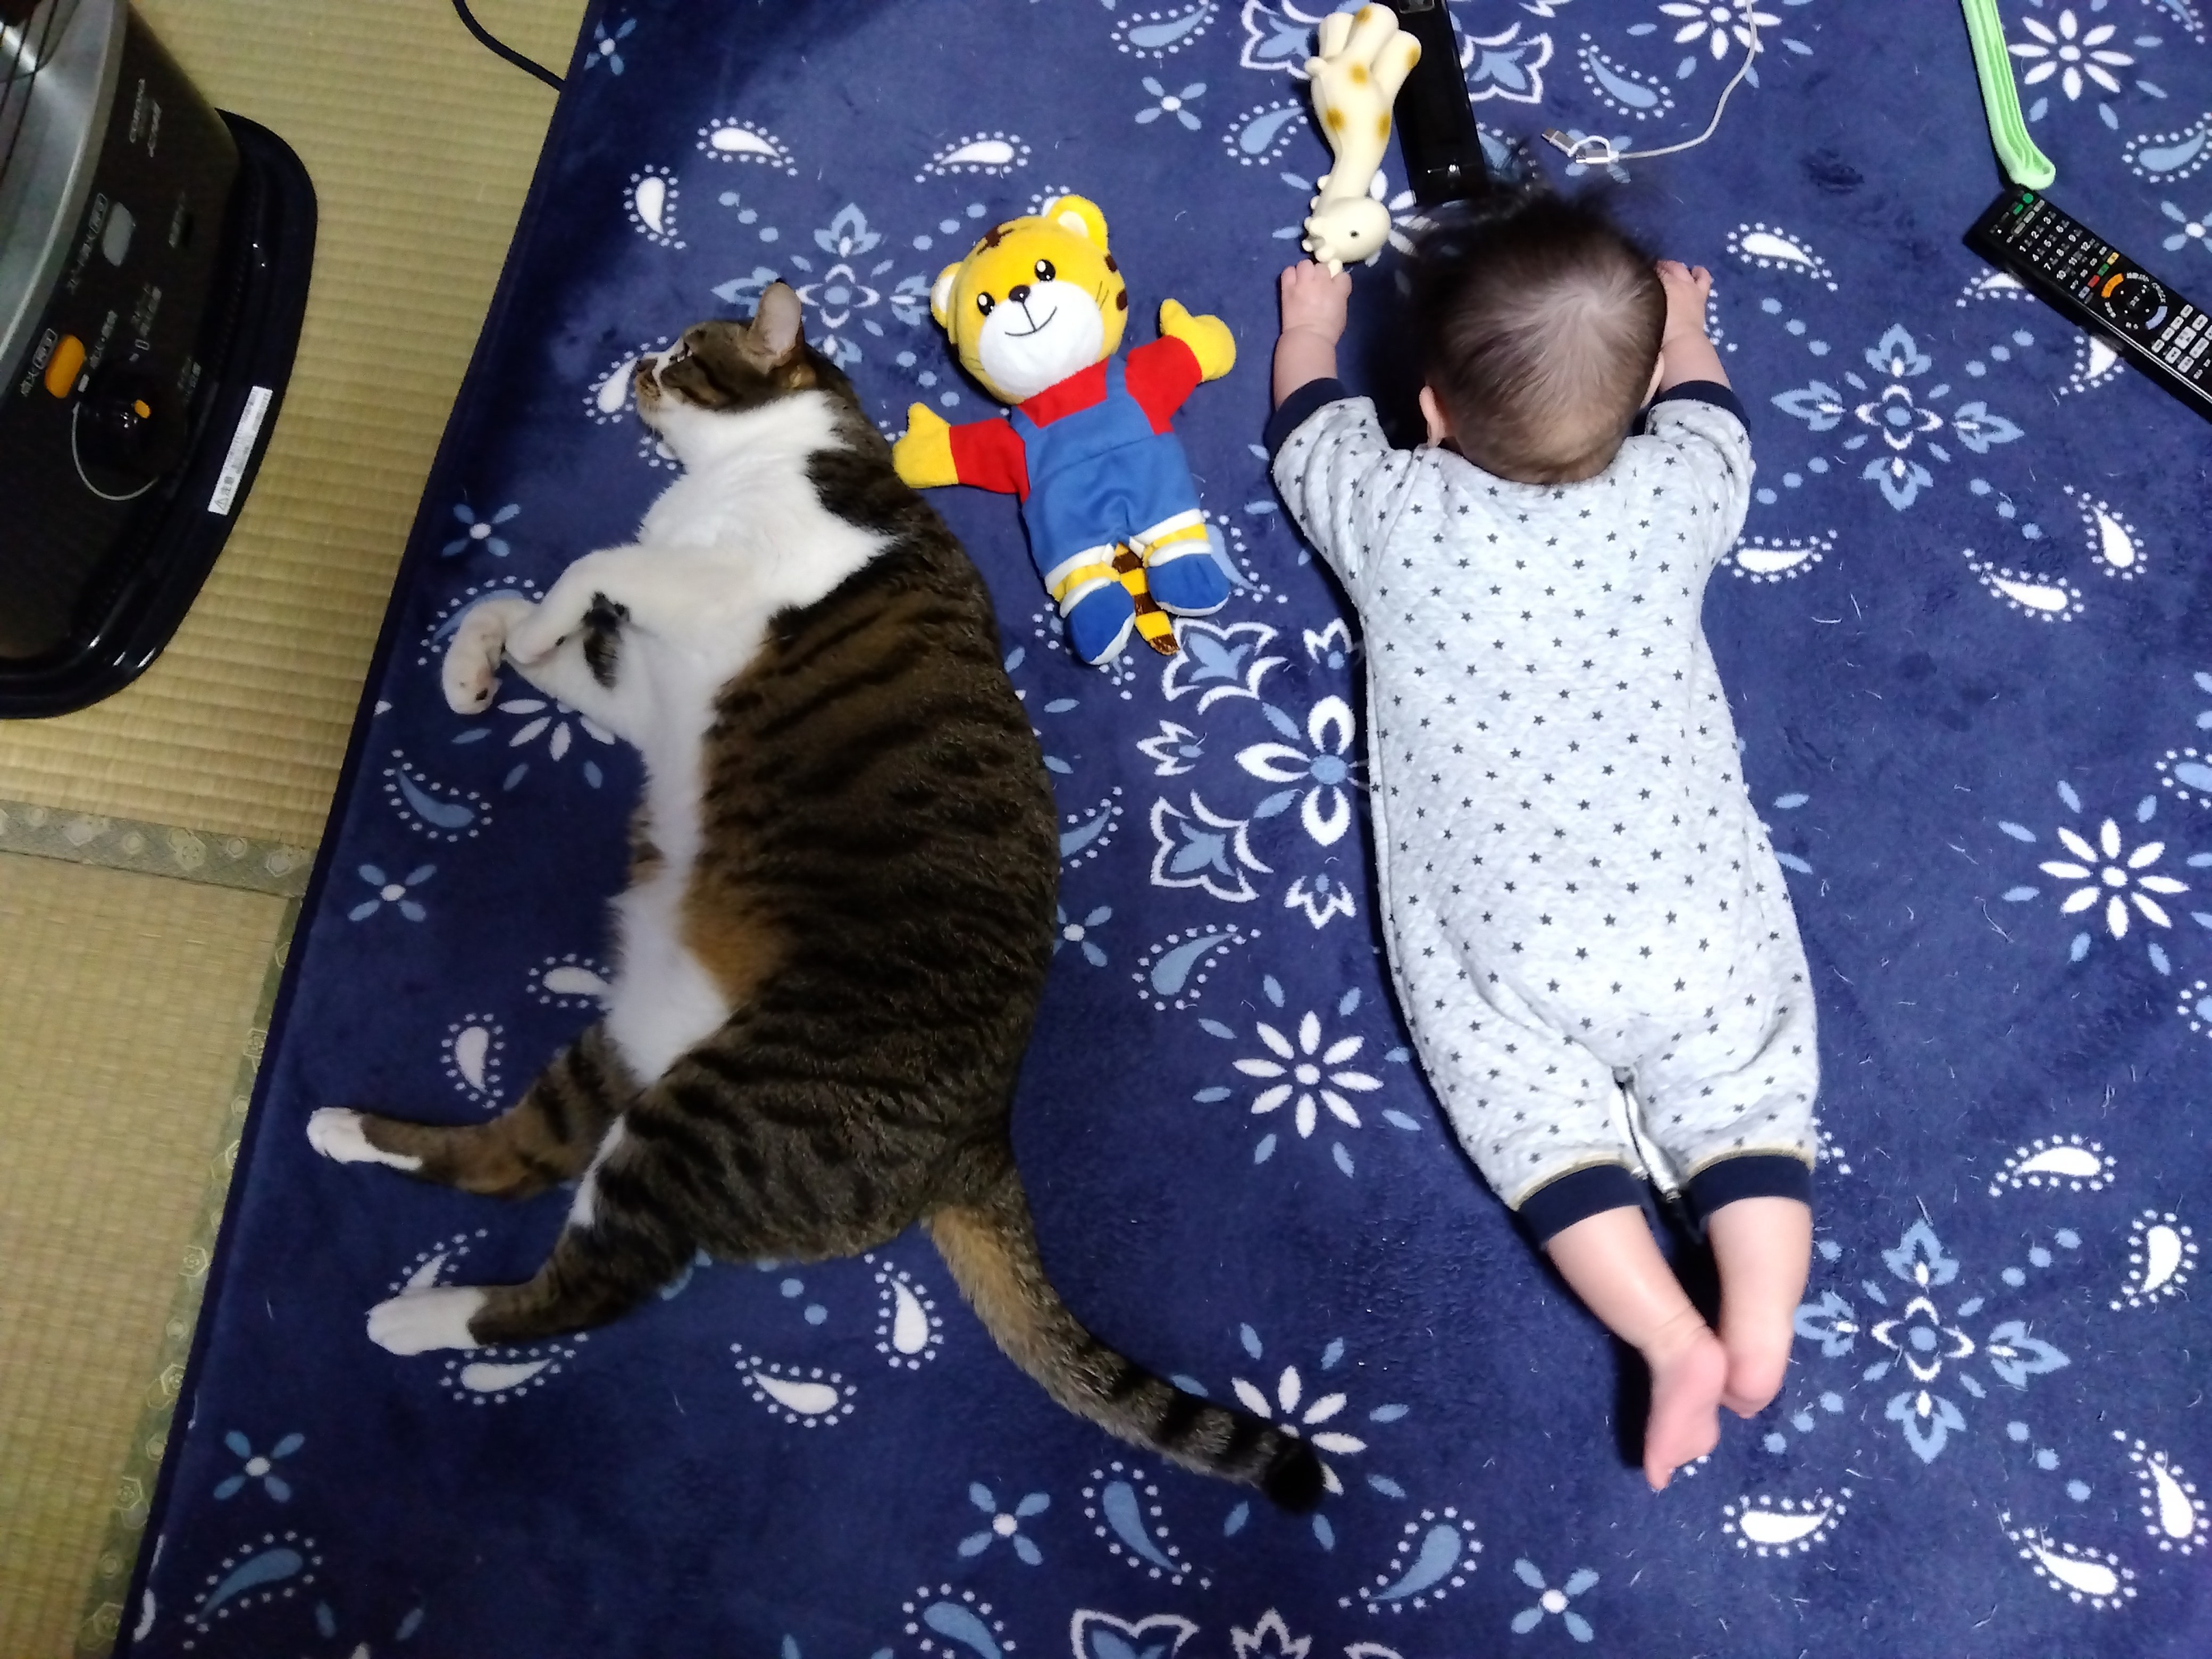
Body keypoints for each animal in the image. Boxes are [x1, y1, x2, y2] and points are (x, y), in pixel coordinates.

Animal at [306, 282, 1323, 1511]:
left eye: (686, 352)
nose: (635, 364)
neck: (751, 465)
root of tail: (980, 1134)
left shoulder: (707, 584)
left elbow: (588, 566)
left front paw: (532, 628)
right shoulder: (647, 686)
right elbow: (516, 600)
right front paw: (475, 664)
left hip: (706, 1120)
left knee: (587, 1286)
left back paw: (412, 1318)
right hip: (638, 1044)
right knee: (512, 1161)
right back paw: (343, 1133)